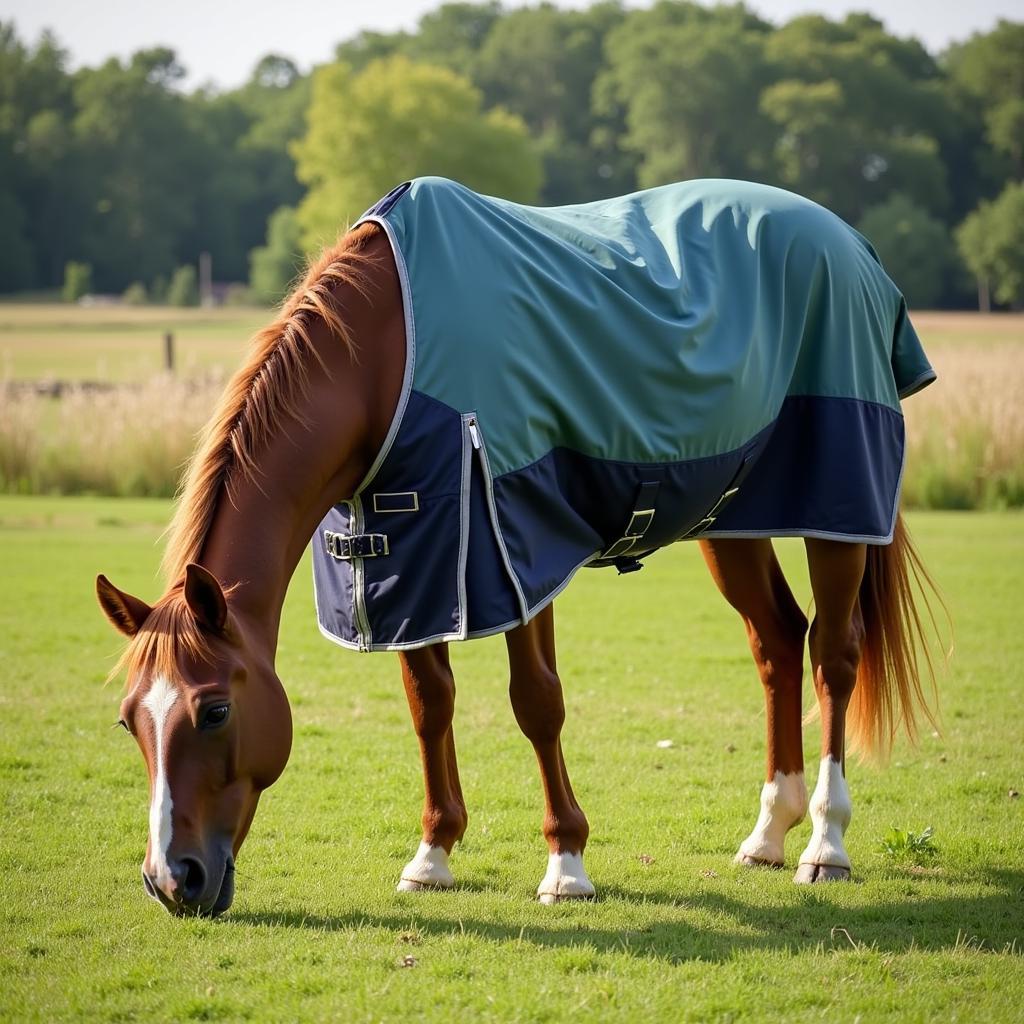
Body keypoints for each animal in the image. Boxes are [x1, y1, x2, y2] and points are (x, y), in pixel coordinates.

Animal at [99, 178, 937, 921]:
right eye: (130, 720)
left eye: (214, 711)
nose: (173, 880)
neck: (386, 357)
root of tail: (850, 243)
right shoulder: (412, 565)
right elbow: (429, 703)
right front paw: (433, 854)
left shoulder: (516, 547)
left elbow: (537, 704)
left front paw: (566, 865)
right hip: (734, 519)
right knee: (777, 640)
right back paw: (768, 831)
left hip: (836, 504)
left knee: (833, 654)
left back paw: (824, 843)